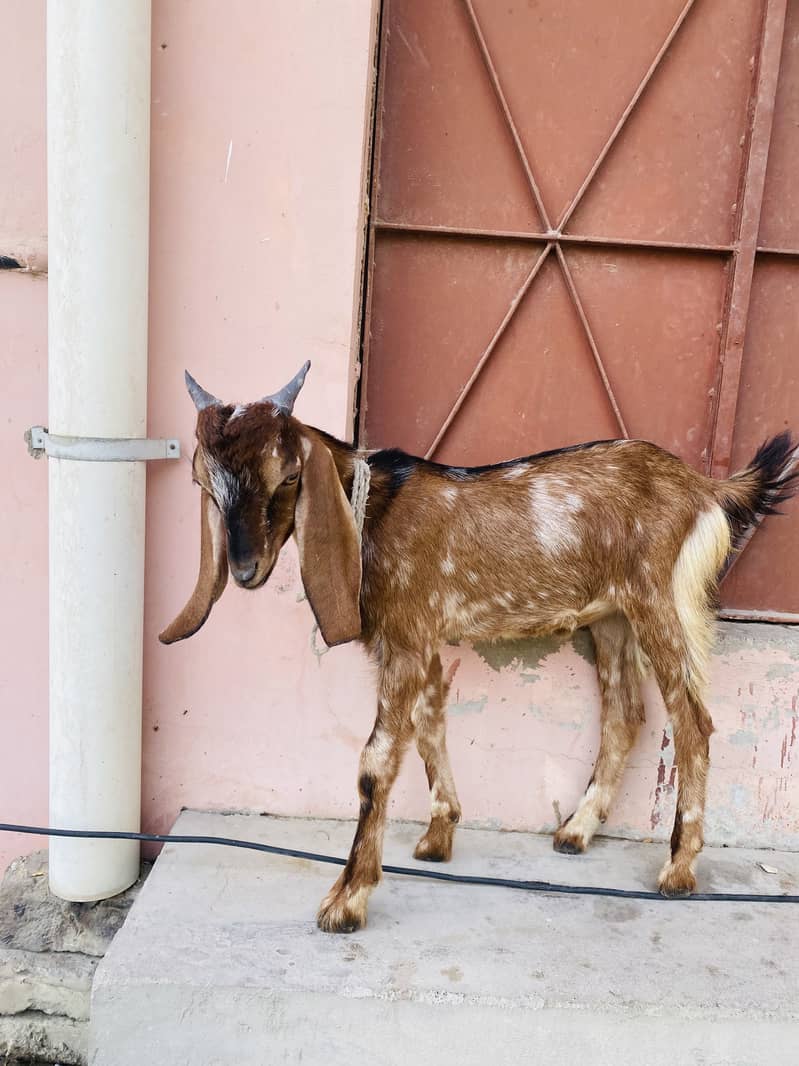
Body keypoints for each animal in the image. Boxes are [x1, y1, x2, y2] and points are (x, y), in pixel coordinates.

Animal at [161, 362, 798, 933]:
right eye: (205, 484)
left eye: (289, 476)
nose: (245, 570)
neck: (371, 513)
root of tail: (706, 488)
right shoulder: (415, 638)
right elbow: (429, 725)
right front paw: (438, 837)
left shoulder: (407, 634)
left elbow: (376, 761)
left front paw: (346, 901)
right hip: (613, 617)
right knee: (626, 713)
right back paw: (576, 832)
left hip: (662, 602)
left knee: (693, 722)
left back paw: (678, 870)